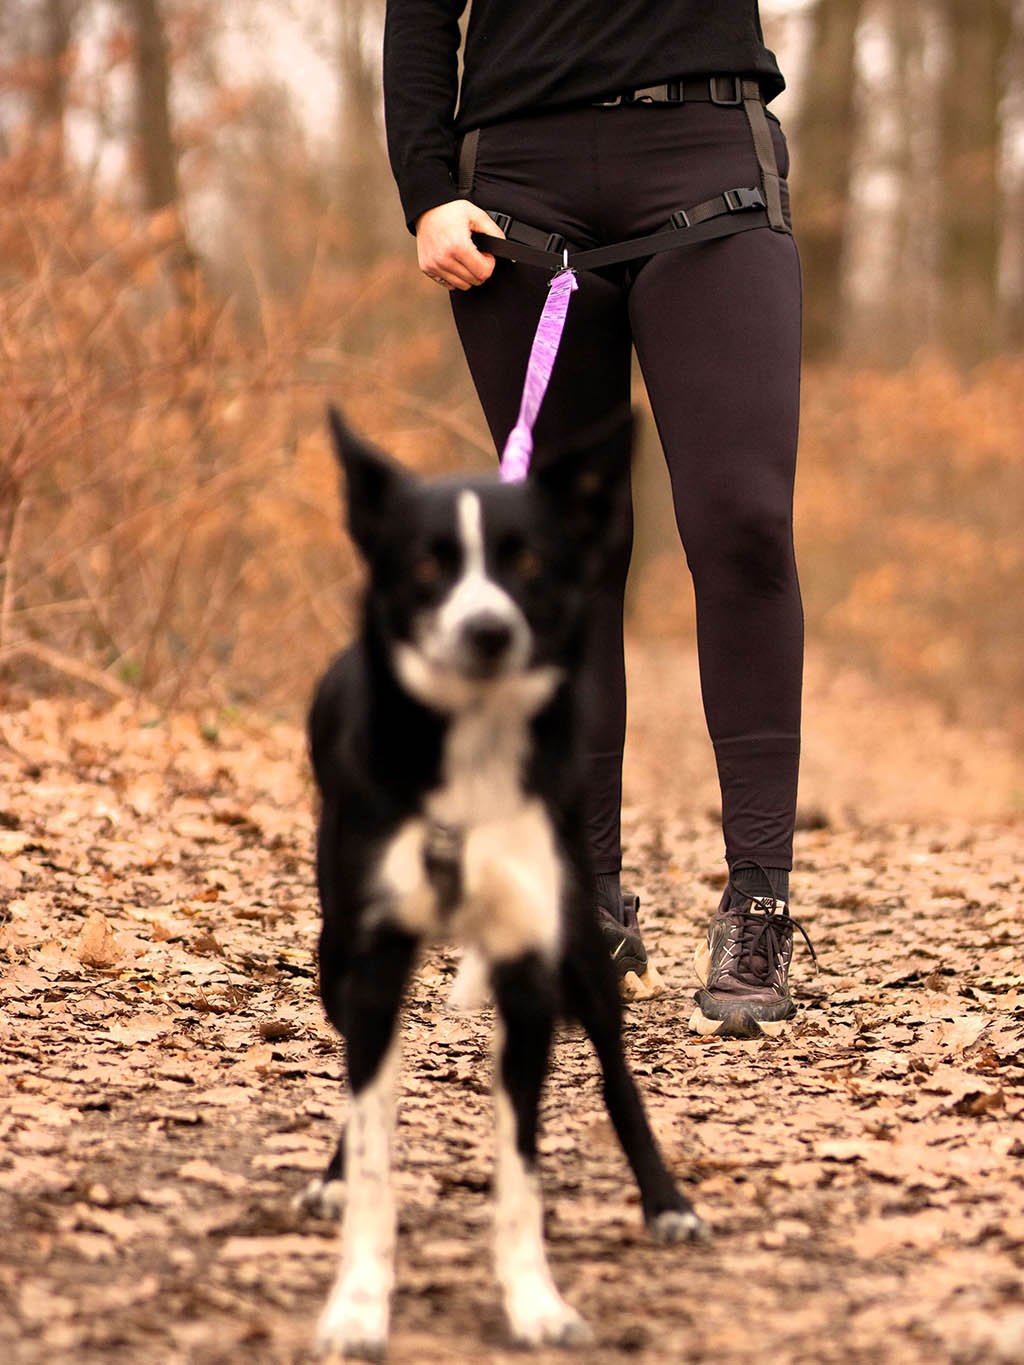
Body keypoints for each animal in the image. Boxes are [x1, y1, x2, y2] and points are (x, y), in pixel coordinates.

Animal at [304, 409, 704, 1359]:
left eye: (527, 563)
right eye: (426, 566)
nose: (488, 630)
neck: (472, 755)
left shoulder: (530, 968)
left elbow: (522, 1172)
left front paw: (537, 1305)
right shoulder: (372, 964)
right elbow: (373, 1147)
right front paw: (357, 1306)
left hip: (586, 950)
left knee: (617, 1076)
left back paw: (665, 1202)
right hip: (335, 955)